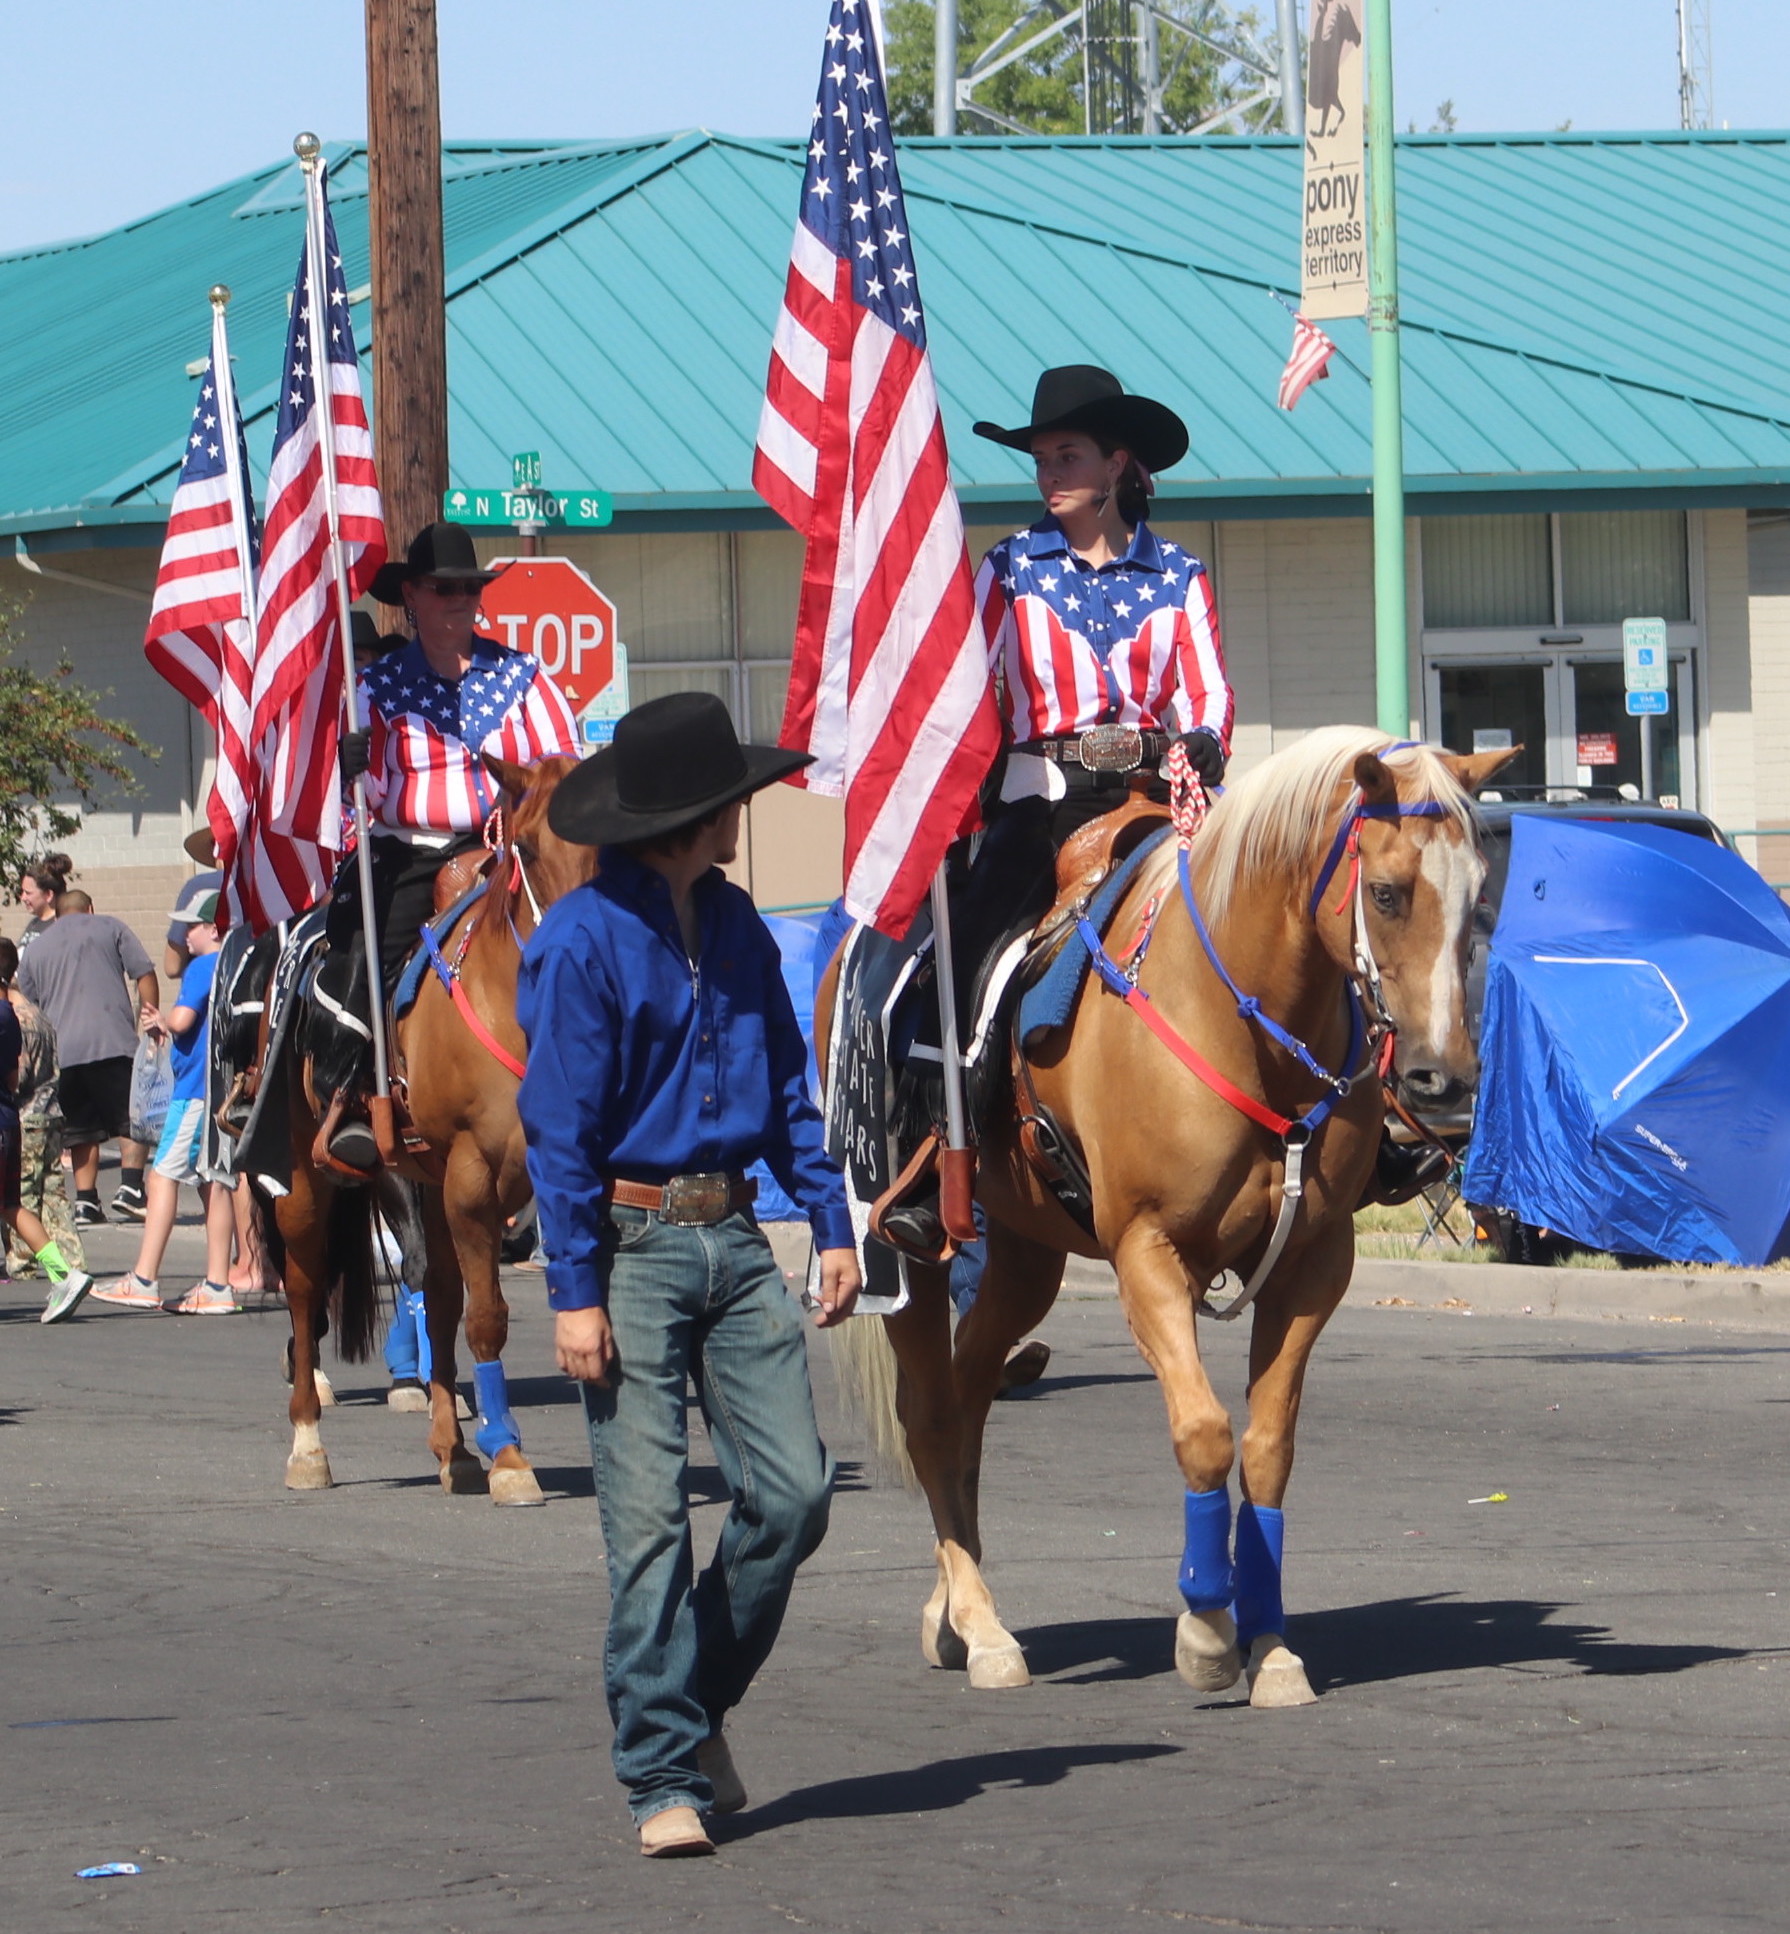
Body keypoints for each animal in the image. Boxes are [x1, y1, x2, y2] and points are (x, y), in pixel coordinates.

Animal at [276, 750, 591, 1493]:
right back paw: (307, 1444)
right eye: (528, 846)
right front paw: (511, 1458)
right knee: (304, 1291)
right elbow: (487, 1318)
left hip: (426, 1179)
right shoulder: (476, 1174)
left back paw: (453, 1447)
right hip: (309, 1175)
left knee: (436, 1291)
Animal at [827, 727, 1515, 1709]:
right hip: (913, 1257)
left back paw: (952, 1614)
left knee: (969, 1397)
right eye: (1386, 892)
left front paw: (1271, 1647)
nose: (1442, 1082)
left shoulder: (1314, 1265)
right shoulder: (1148, 1253)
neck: (1244, 1022)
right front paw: (1207, 1629)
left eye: (1480, 893)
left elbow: (1265, 1447)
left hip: (1028, 1252)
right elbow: (1203, 1433)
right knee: (929, 1414)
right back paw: (985, 1628)